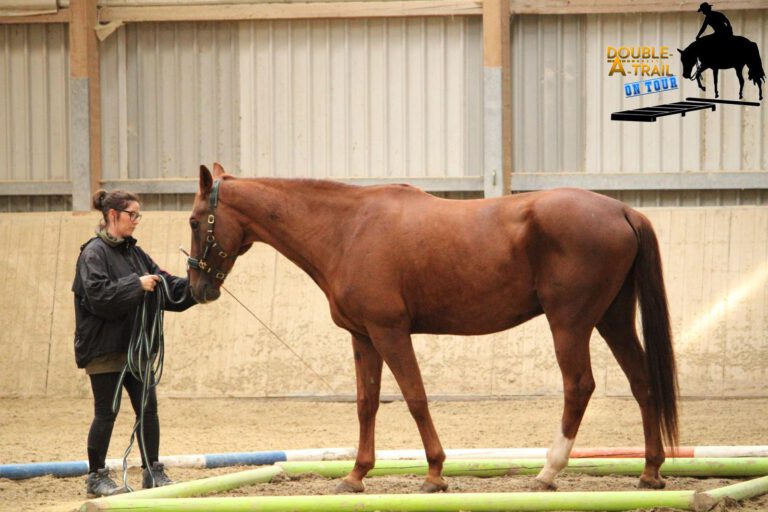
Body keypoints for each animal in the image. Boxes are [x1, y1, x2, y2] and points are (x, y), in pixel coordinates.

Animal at [188, 163, 680, 492]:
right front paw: (356, 474)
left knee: (579, 386)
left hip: (571, 324)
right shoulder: (363, 337)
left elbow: (415, 398)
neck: (348, 229)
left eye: (194, 221)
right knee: (642, 382)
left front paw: (435, 473)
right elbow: (367, 403)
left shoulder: (389, 332)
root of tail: (622, 210)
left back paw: (547, 471)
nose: (196, 287)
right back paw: (650, 470)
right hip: (613, 318)